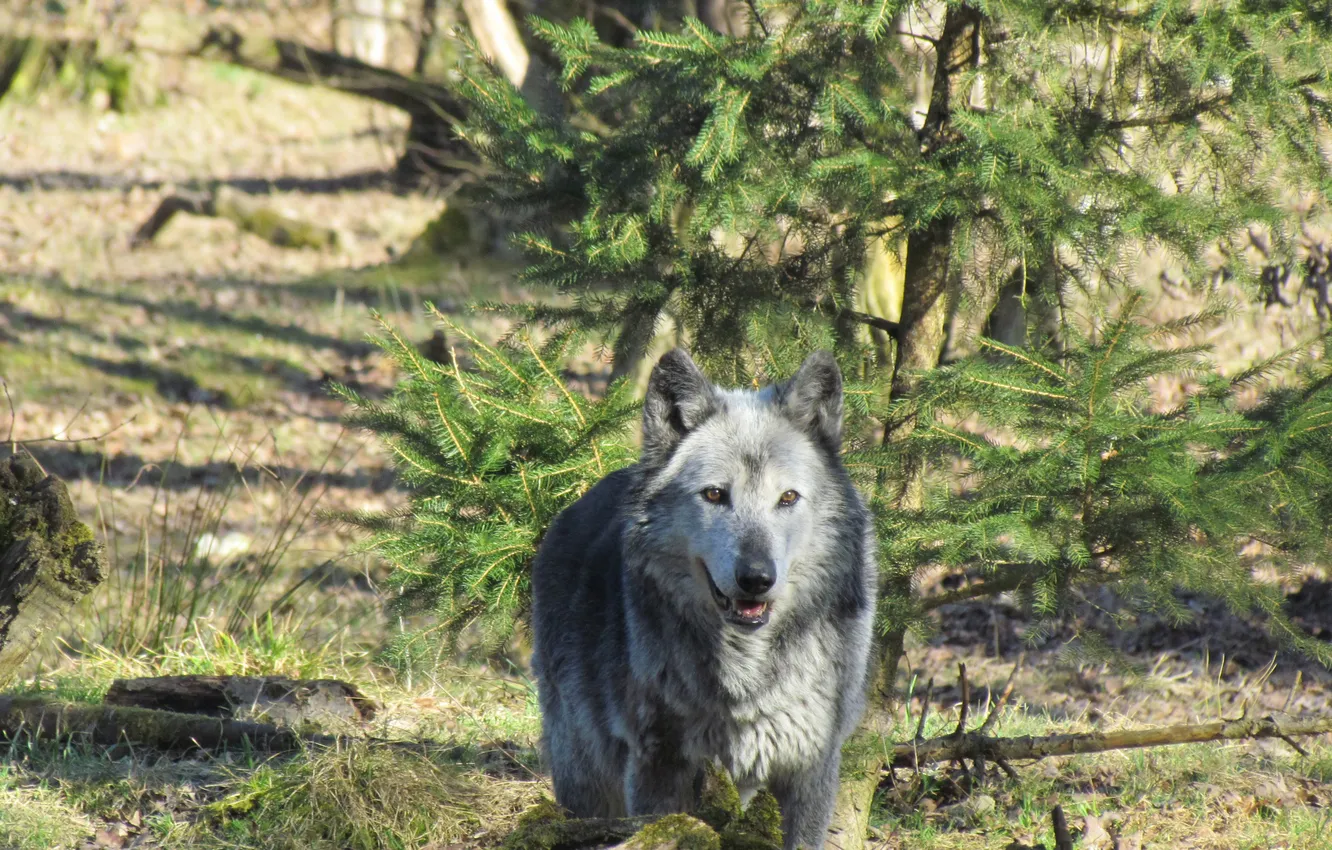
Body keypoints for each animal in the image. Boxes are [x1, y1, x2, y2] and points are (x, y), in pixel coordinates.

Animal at [530, 348, 878, 850]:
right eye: (715, 494)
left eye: (788, 497)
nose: (756, 578)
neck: (747, 671)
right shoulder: (659, 767)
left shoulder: (810, 768)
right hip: (585, 775)